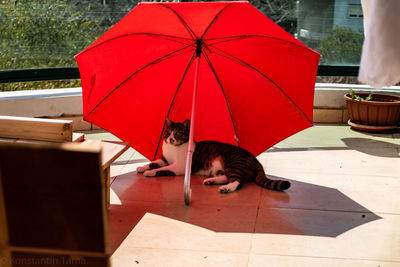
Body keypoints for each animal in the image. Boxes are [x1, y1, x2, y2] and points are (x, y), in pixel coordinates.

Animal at [138, 118, 290, 194]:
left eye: (177, 134)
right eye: (168, 132)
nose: (170, 139)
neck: (173, 149)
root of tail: (255, 158)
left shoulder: (179, 167)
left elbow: (161, 169)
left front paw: (149, 172)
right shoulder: (164, 159)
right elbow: (154, 162)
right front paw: (142, 167)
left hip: (233, 164)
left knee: (237, 181)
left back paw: (226, 188)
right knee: (226, 177)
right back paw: (211, 181)